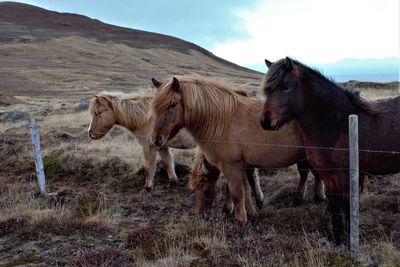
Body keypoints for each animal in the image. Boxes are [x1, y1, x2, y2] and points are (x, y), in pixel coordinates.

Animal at [150, 74, 324, 226]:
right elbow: (245, 187)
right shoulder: (241, 165)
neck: (222, 121)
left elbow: (236, 192)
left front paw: (240, 220)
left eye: (172, 104)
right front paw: (250, 211)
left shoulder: (231, 166)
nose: (156, 139)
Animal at [260, 57, 400, 247]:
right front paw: (336, 240)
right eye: (268, 90)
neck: (336, 123)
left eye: (286, 86)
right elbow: (334, 207)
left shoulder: (347, 176)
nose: (265, 121)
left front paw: (349, 241)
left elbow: (347, 206)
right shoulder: (329, 176)